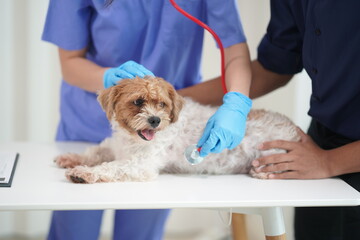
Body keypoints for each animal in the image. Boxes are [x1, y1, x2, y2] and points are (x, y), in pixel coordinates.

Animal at [55, 77, 298, 184]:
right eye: (138, 101)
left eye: (162, 104)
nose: (154, 120)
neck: (130, 140)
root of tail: (295, 129)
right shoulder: (114, 147)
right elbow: (95, 152)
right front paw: (72, 158)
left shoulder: (141, 164)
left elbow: (112, 167)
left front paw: (84, 172)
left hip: (272, 155)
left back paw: (261, 172)